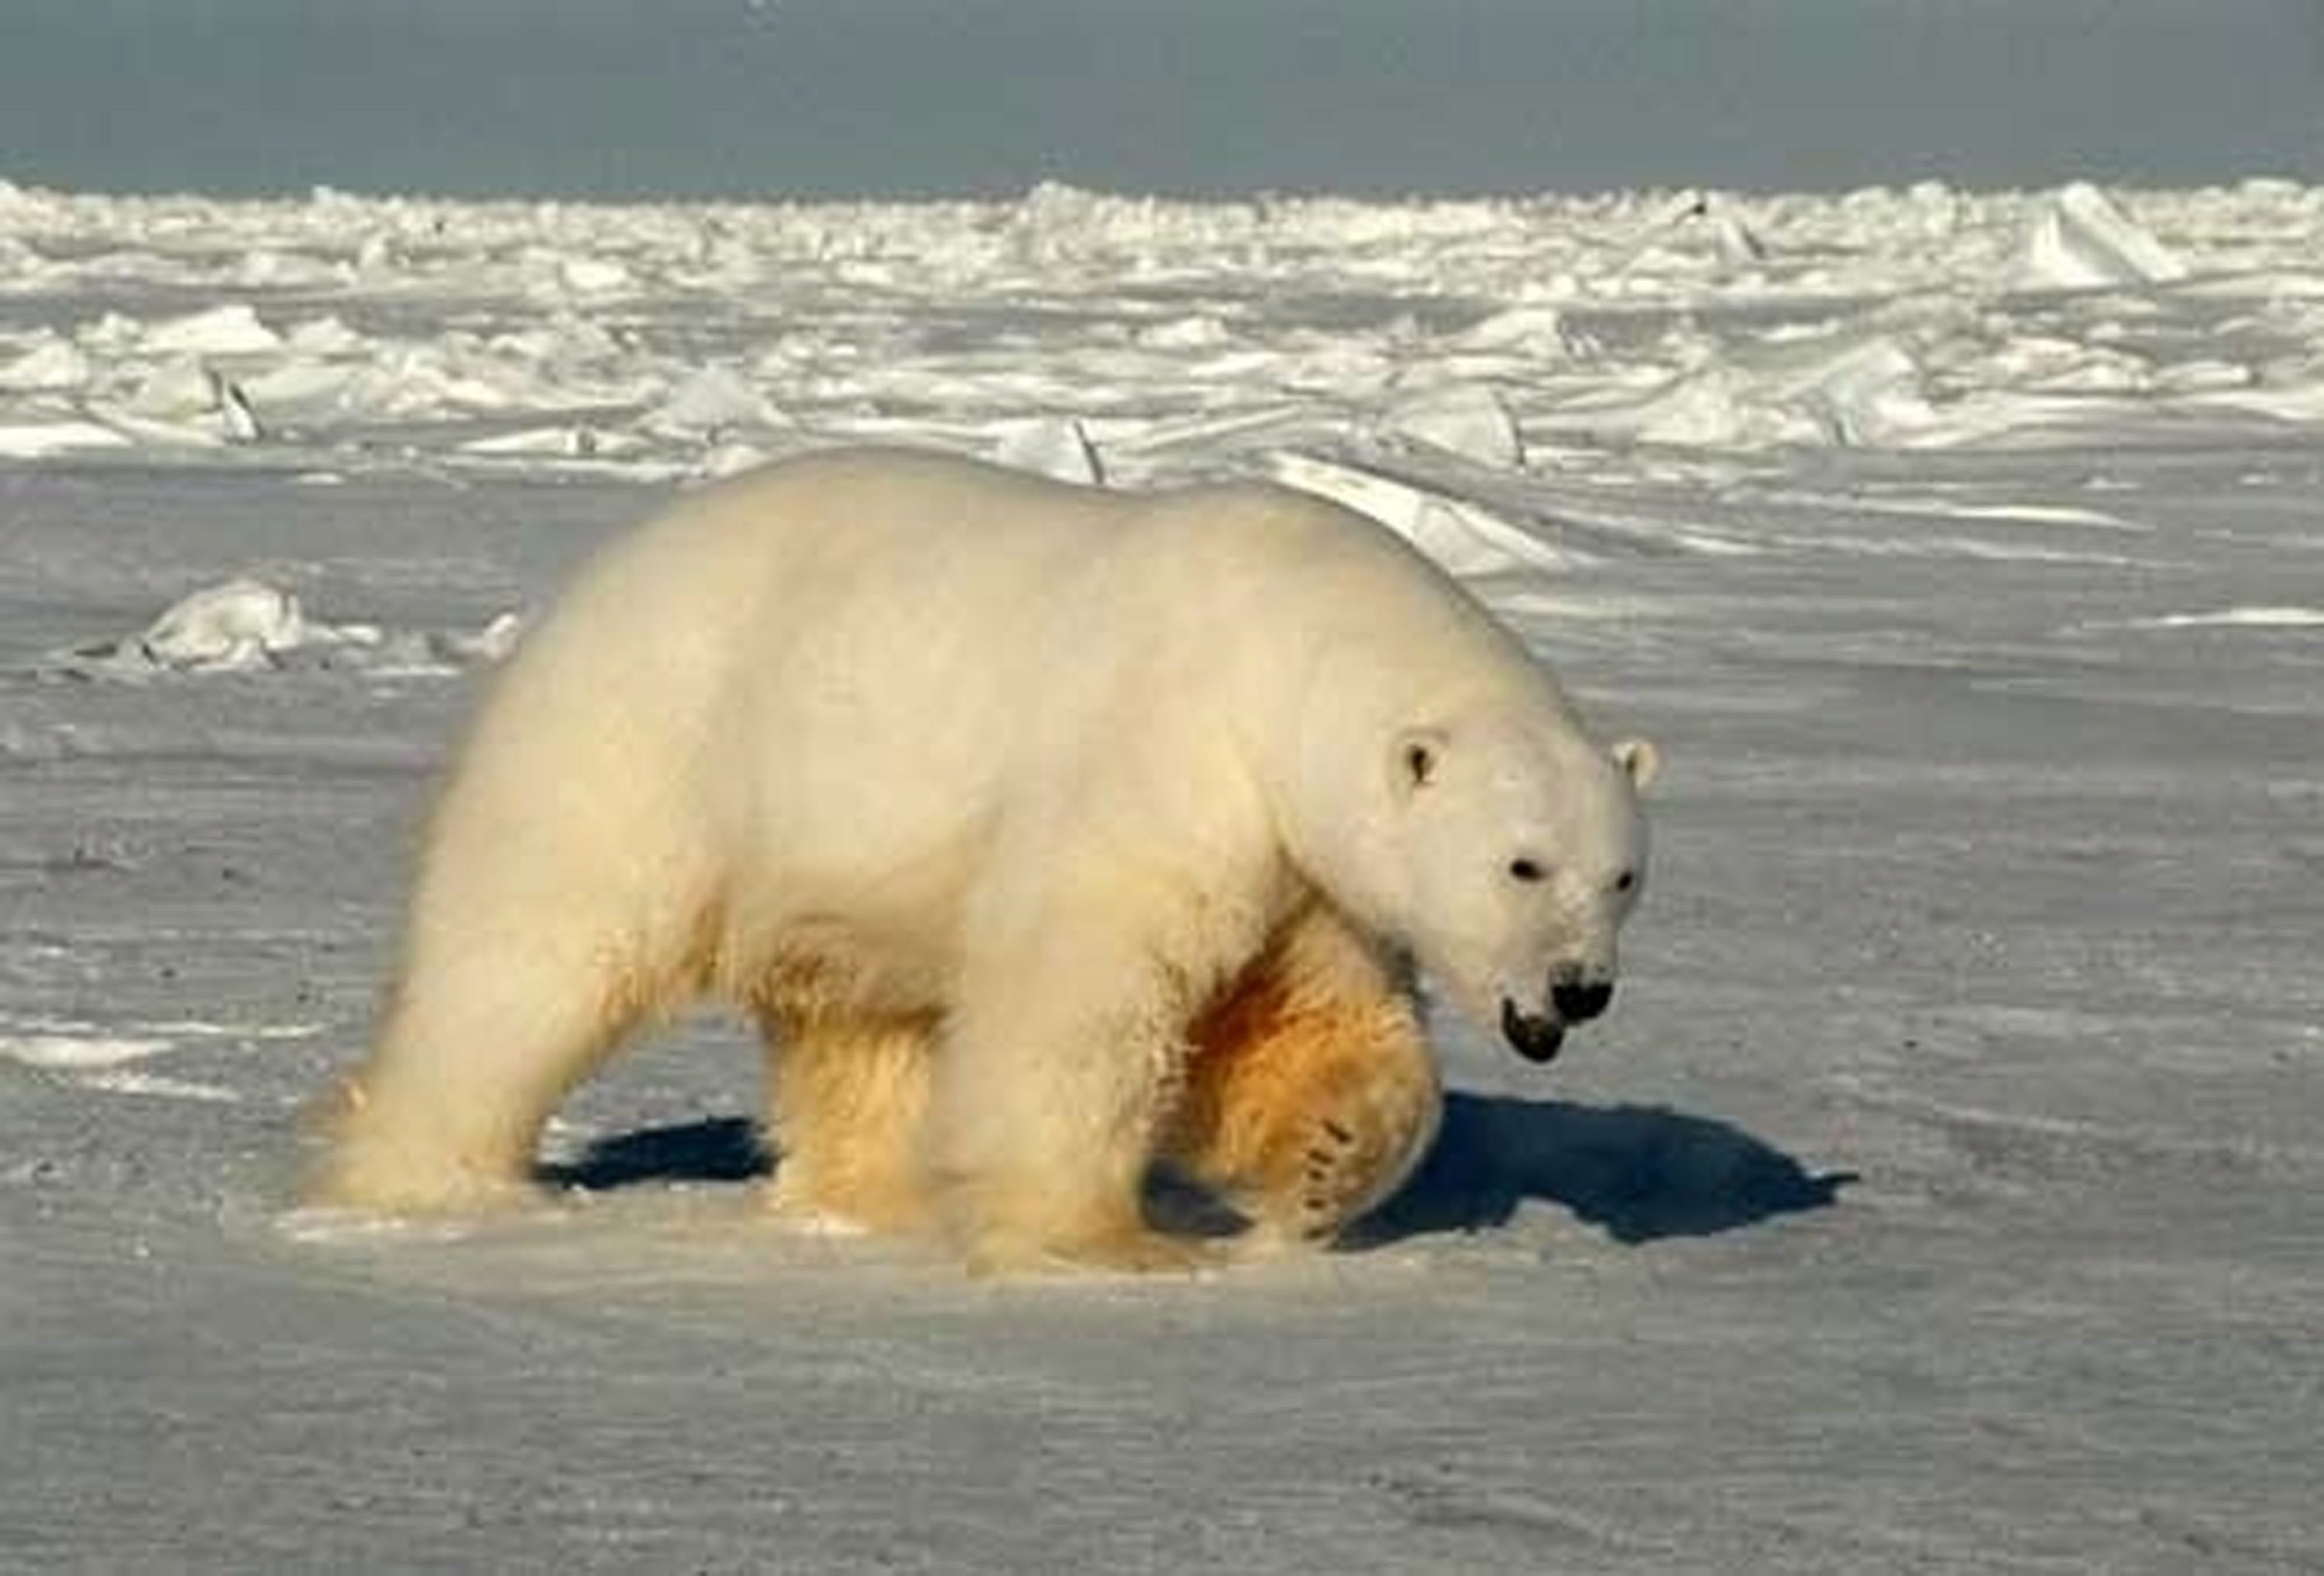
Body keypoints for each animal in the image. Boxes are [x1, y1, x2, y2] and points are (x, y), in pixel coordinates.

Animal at [314, 444, 1655, 1274]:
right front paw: (1103, 1242)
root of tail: (591, 583)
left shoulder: (1303, 863)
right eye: (1523, 865)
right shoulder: (1165, 754)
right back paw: (433, 1183)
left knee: (861, 1024)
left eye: (1624, 876)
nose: (1580, 989)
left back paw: (875, 1198)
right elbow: (1085, 989)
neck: (1287, 649)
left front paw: (1323, 1167)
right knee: (532, 959)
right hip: (647, 745)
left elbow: (1300, 1019)